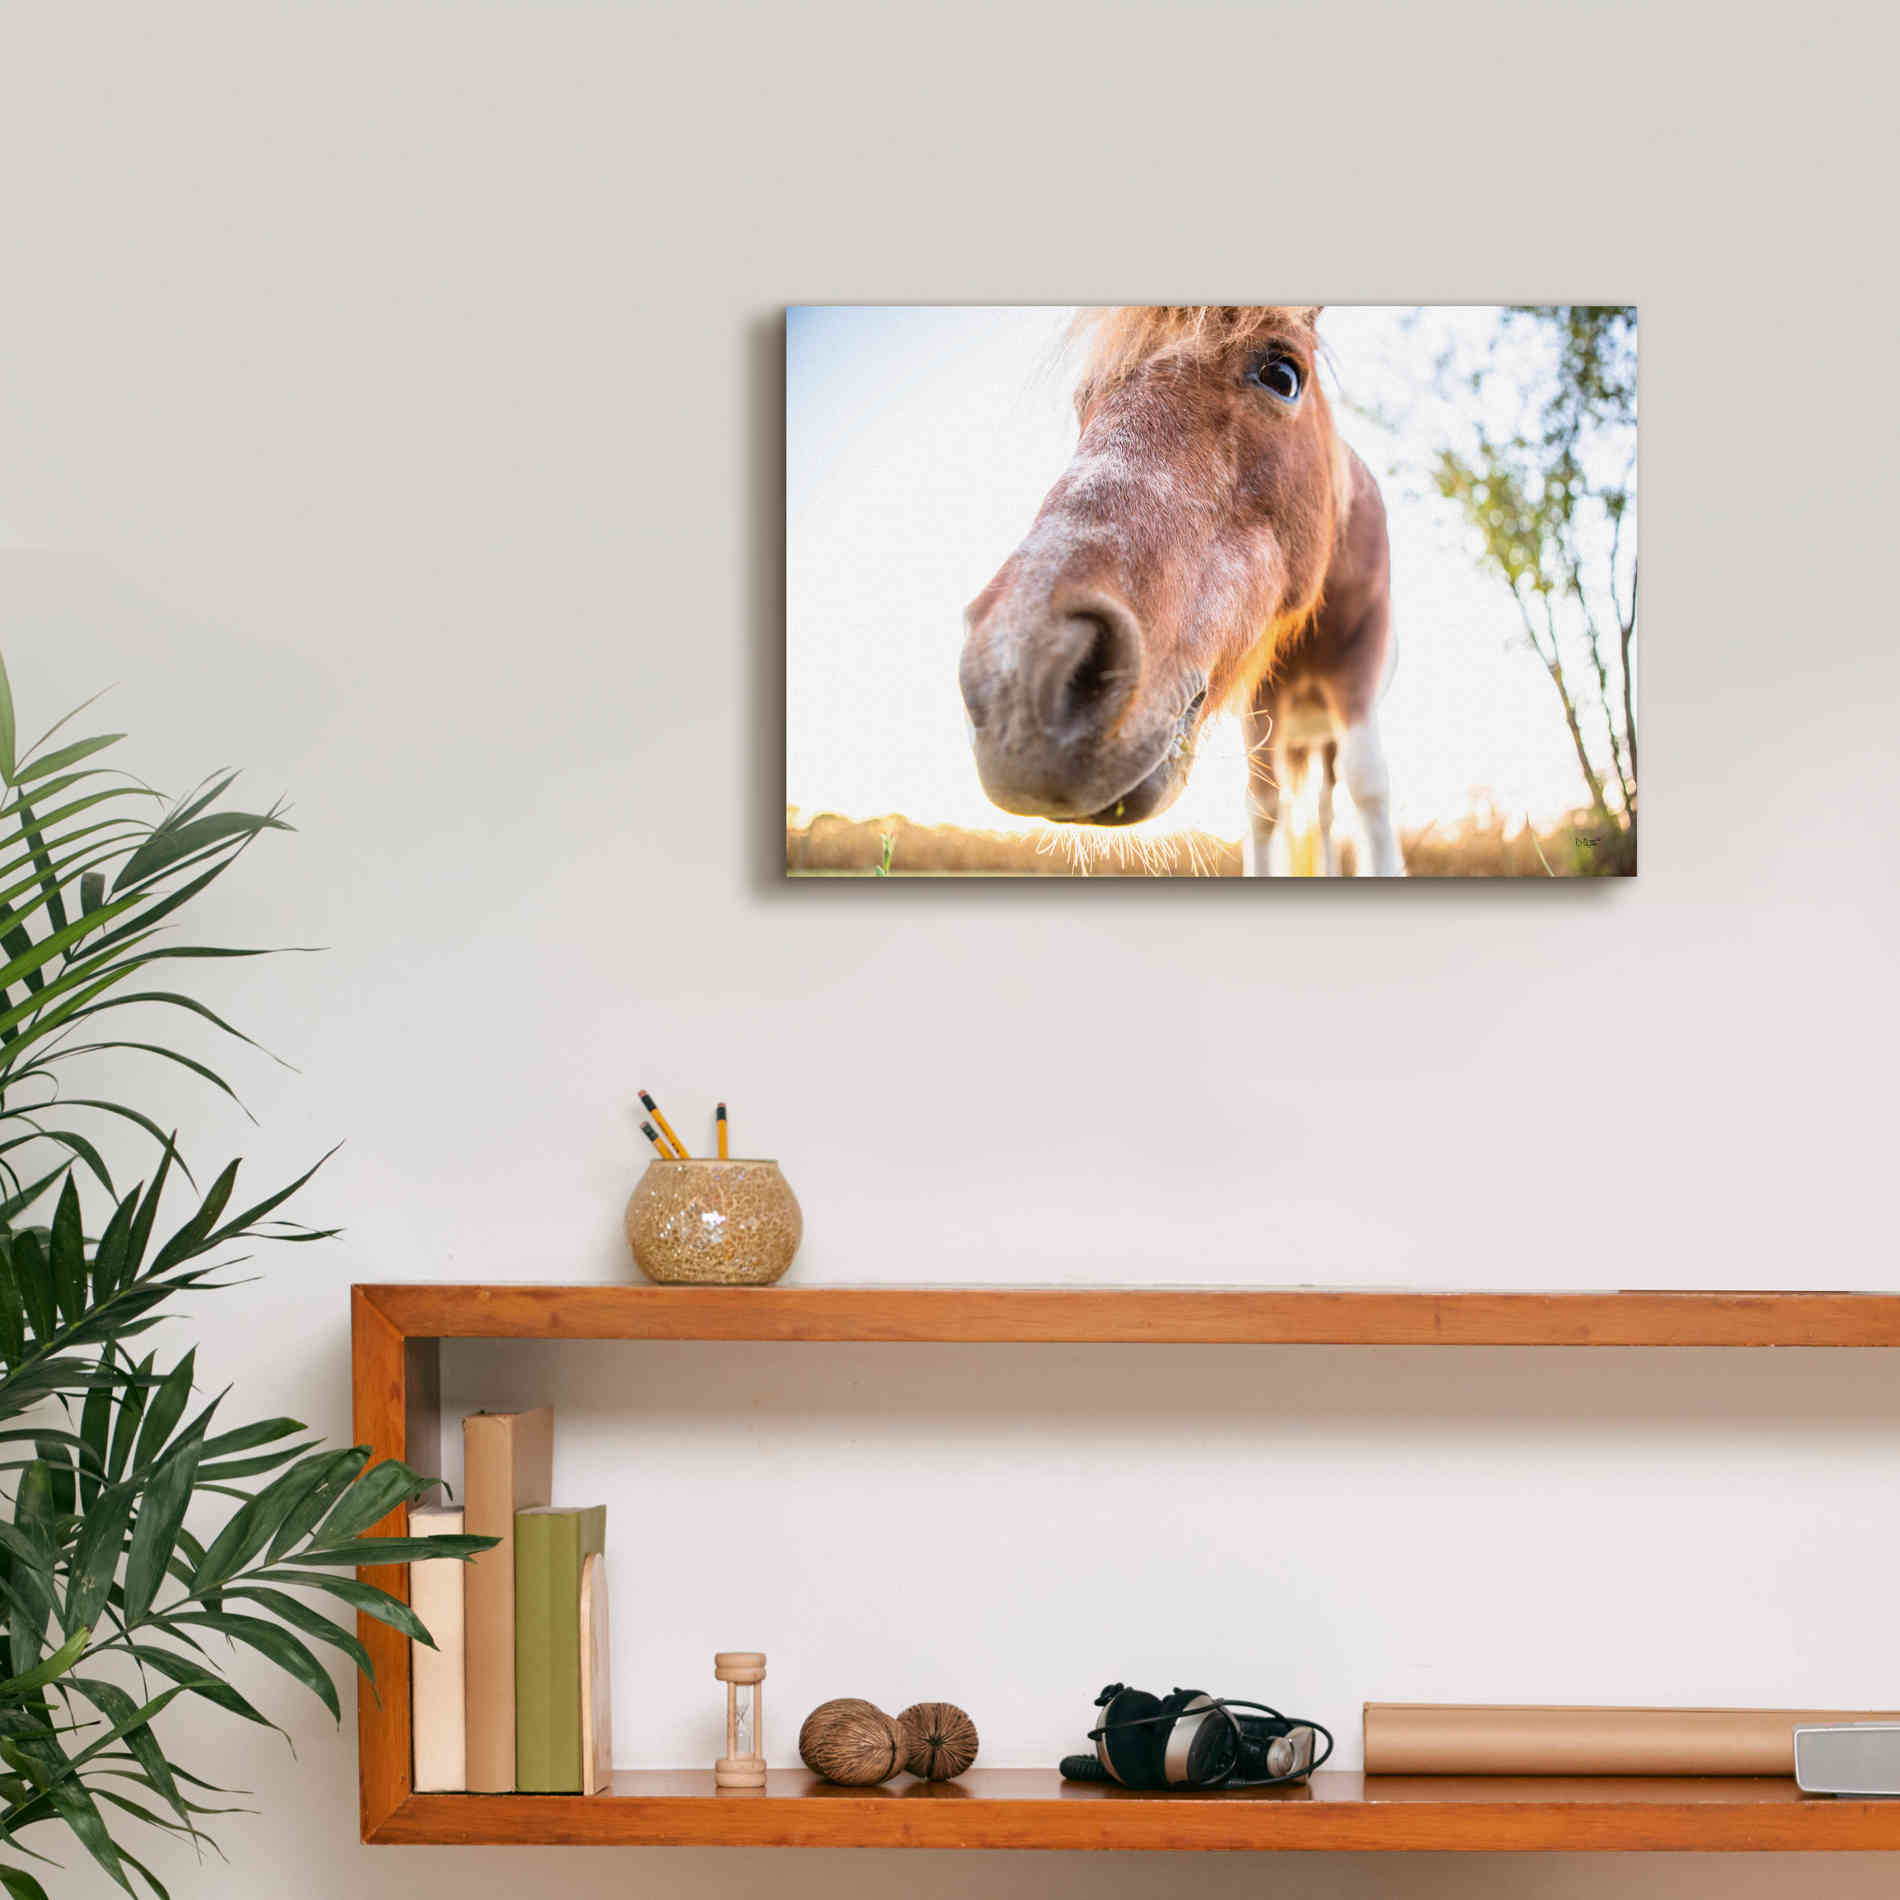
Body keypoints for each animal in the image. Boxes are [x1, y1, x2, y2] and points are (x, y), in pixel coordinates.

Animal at [958, 306, 1403, 876]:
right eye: (1085, 400)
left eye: (1283, 376)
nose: (1017, 683)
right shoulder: (1259, 703)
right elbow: (1262, 807)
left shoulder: (1355, 676)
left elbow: (1369, 790)